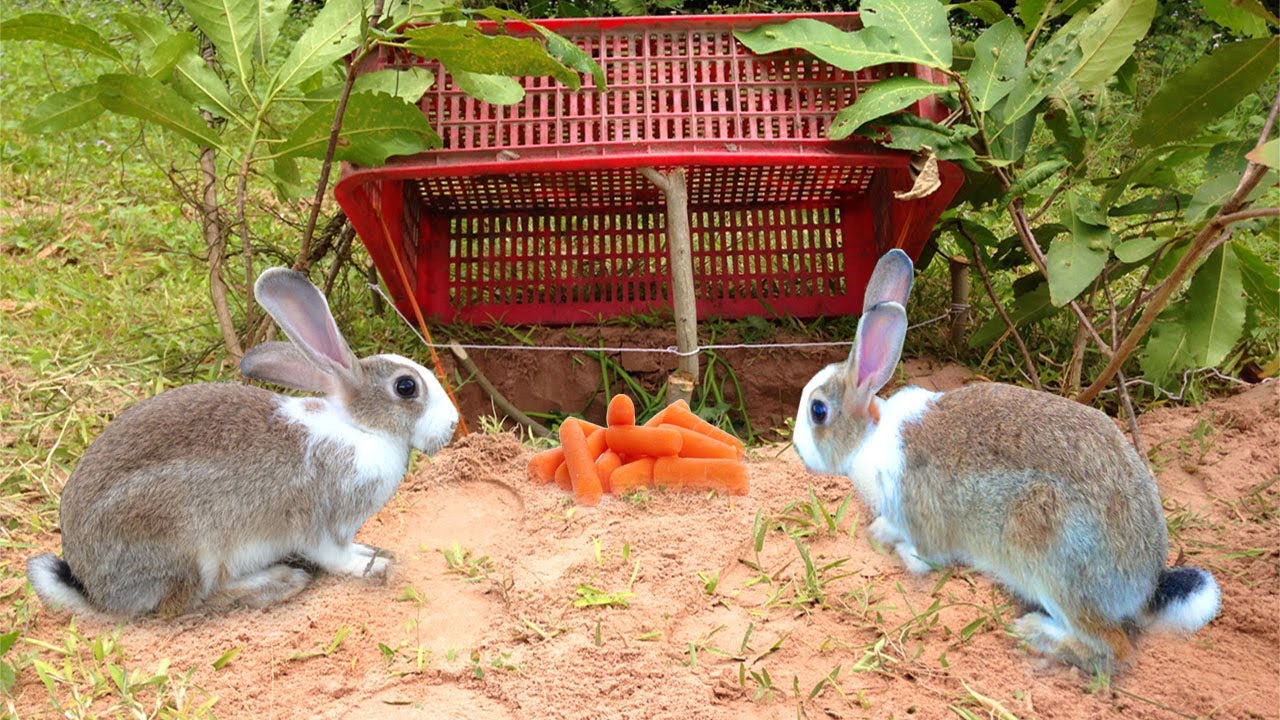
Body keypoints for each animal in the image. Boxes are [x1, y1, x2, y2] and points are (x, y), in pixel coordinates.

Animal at [27, 267, 459, 617]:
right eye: (406, 387)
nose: (453, 425)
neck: (359, 428)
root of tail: (95, 590)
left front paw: (375, 552)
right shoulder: (321, 523)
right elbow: (335, 556)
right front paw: (373, 567)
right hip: (189, 544)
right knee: (184, 604)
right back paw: (280, 582)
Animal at [792, 249, 1220, 672]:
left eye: (818, 411)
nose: (797, 448)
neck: (868, 436)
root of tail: (1145, 584)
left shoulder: (920, 519)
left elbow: (923, 555)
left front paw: (897, 552)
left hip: (1052, 564)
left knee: (1113, 648)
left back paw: (1036, 636)